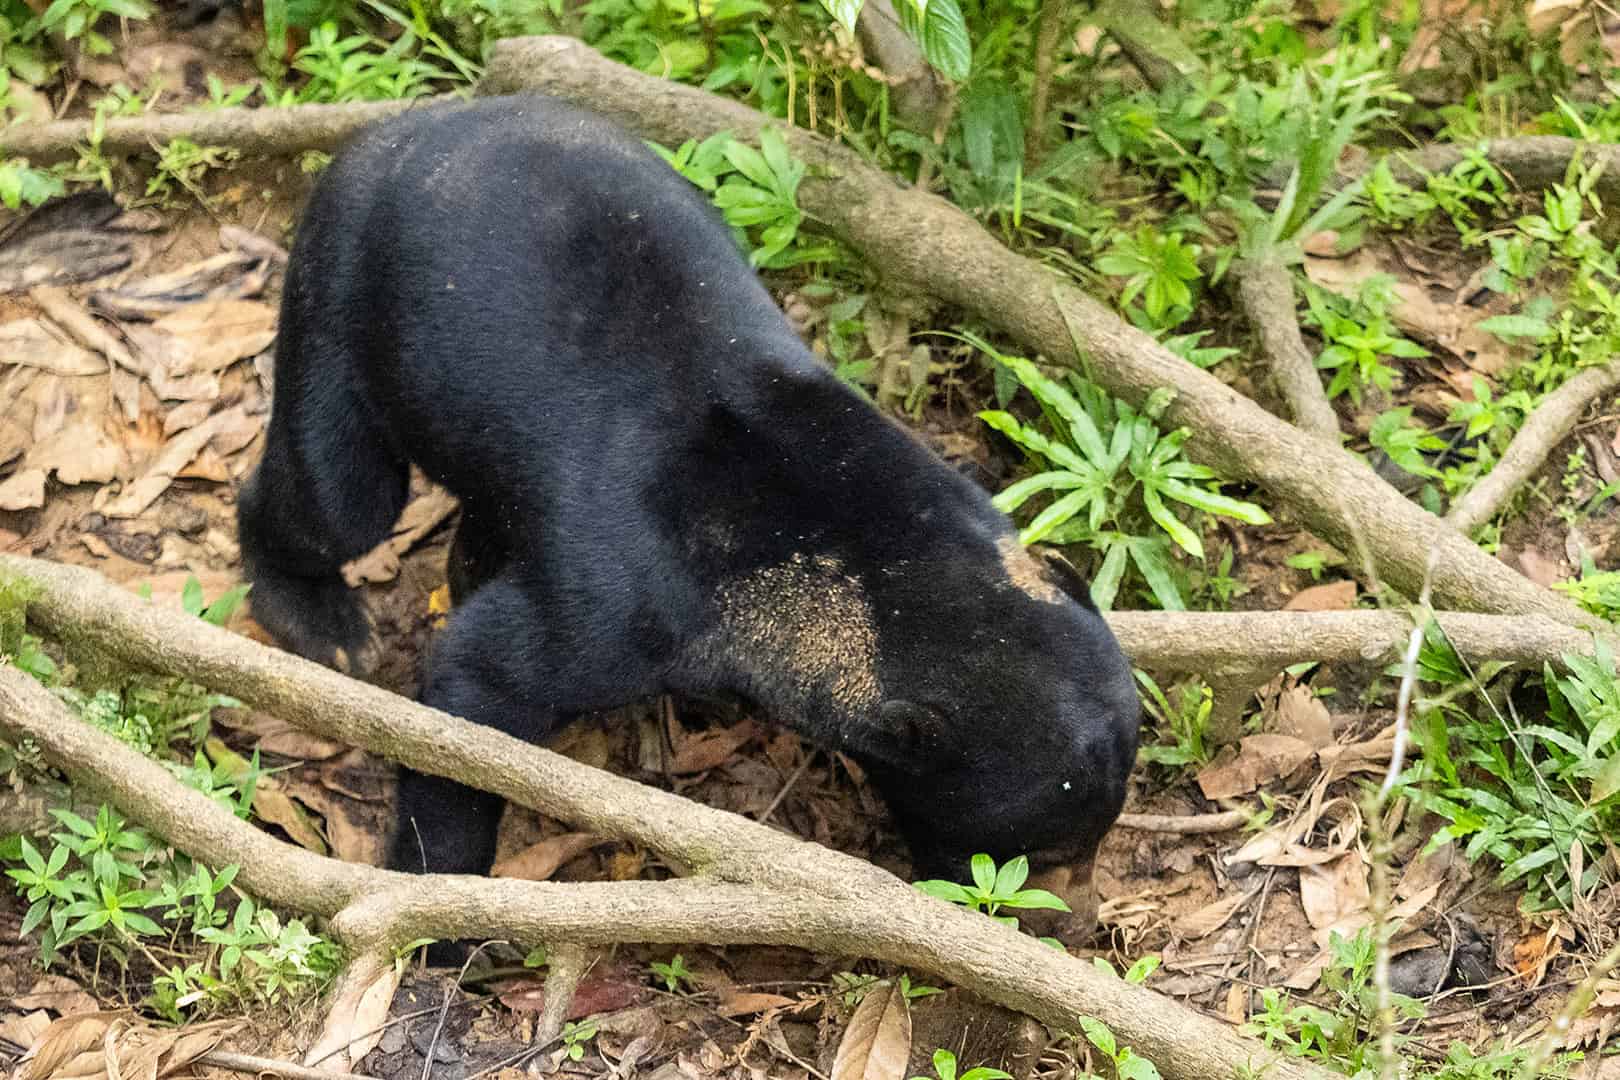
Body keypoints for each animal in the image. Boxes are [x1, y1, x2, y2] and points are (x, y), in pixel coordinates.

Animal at [237, 95, 1141, 935]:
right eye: (1030, 854)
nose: (1079, 921)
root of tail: (403, 124)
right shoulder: (625, 609)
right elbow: (476, 688)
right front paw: (443, 911)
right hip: (340, 282)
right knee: (336, 495)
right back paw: (325, 624)